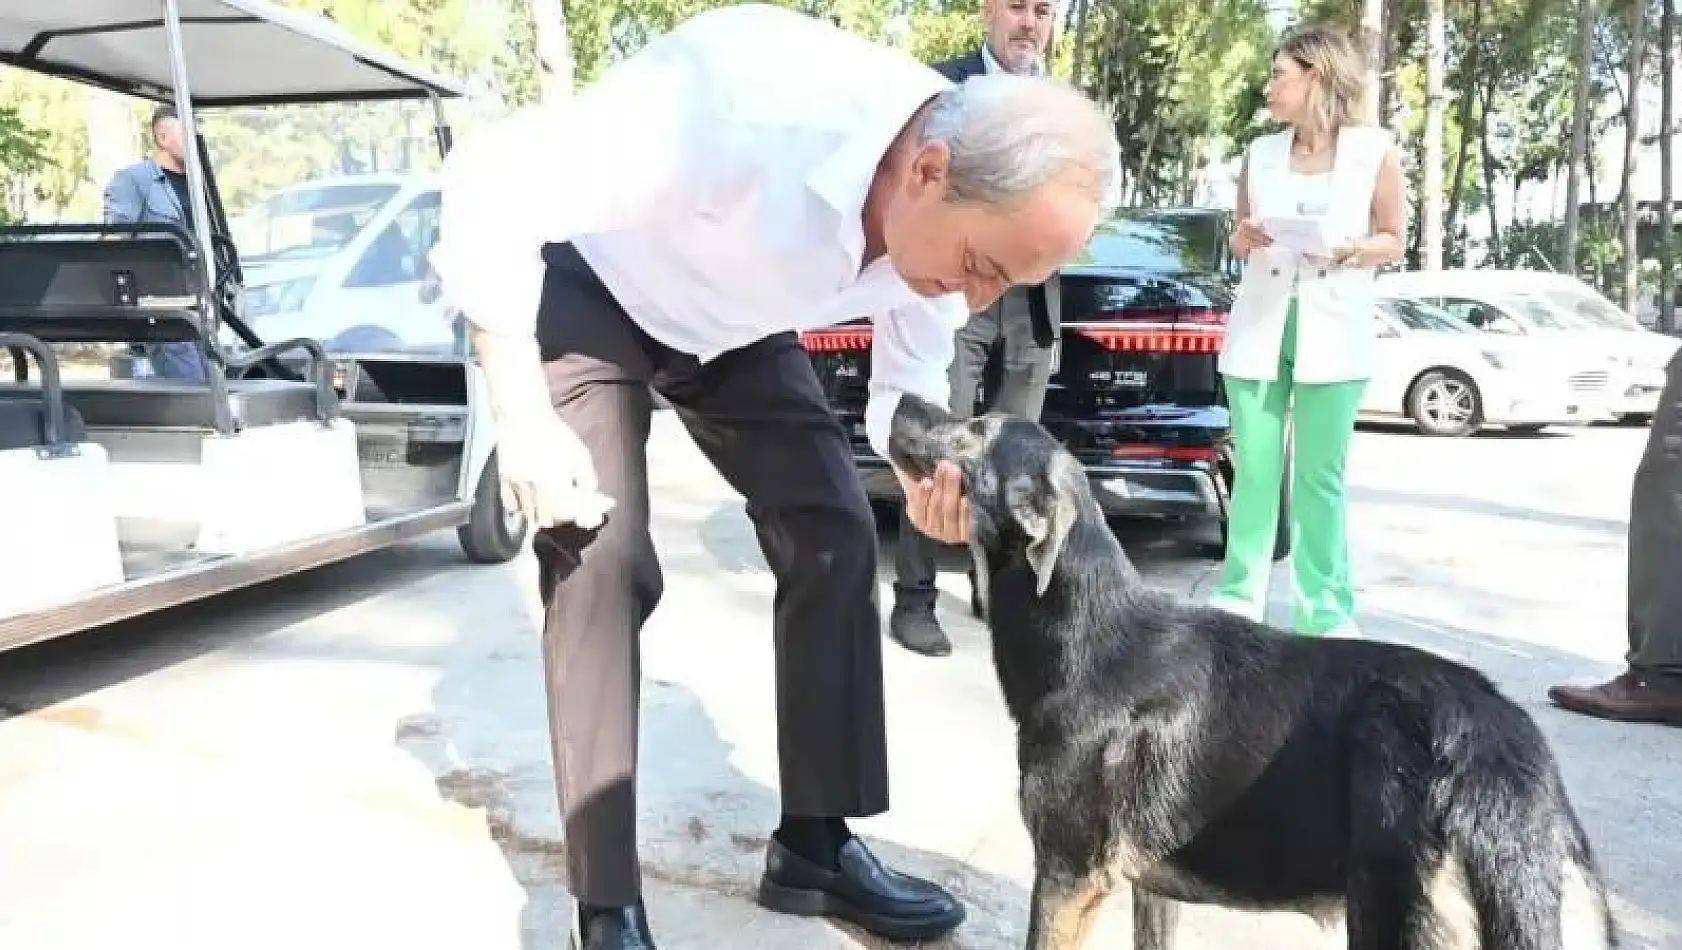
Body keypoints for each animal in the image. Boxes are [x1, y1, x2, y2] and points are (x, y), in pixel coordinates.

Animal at [888, 396, 1607, 948]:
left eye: (977, 428)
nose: (900, 399)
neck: (1087, 642)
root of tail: (1499, 760)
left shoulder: (1070, 875)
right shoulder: (1153, 888)